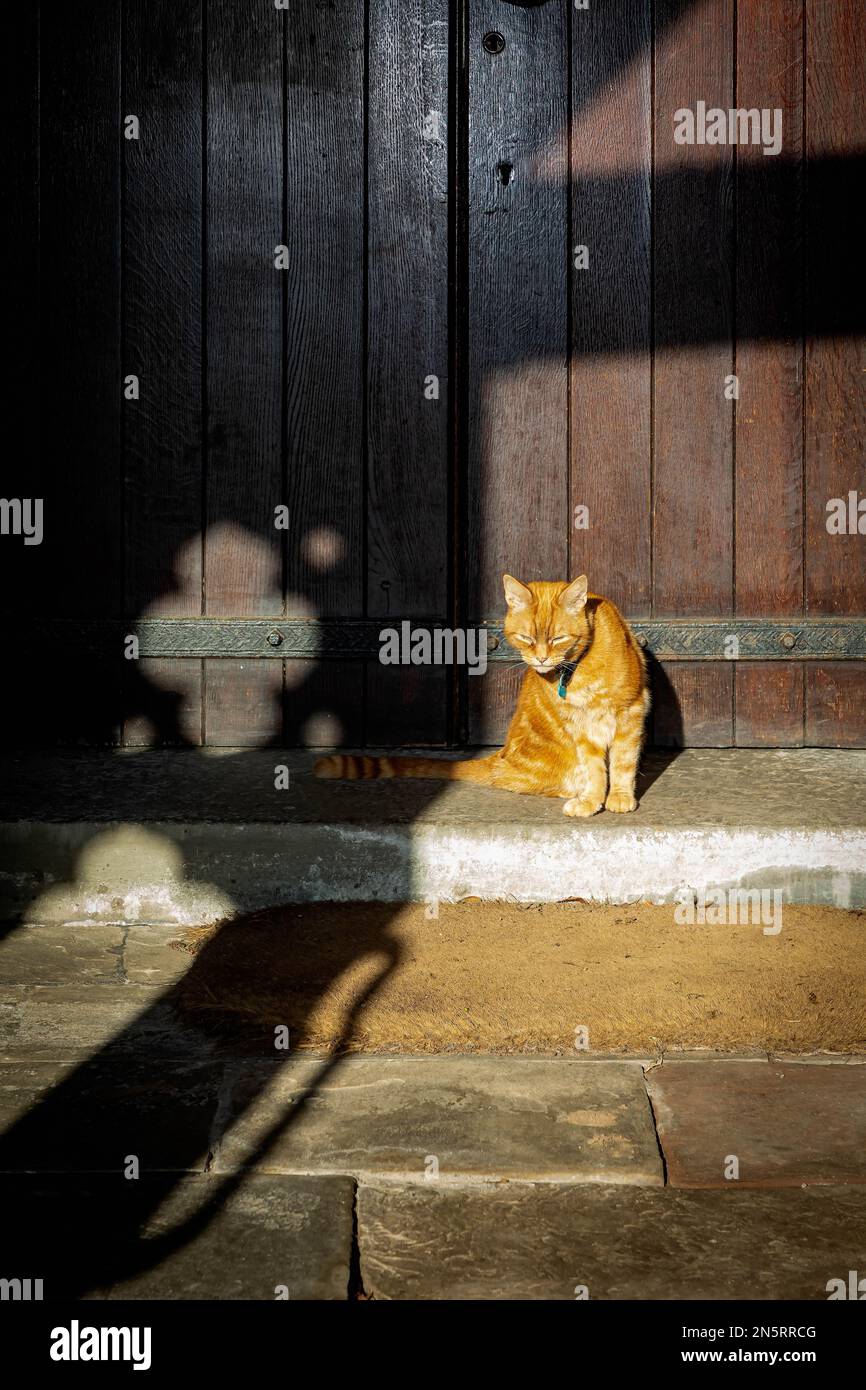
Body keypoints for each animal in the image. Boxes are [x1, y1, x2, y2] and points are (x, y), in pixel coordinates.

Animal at [315, 572, 647, 811]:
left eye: (558, 638)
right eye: (526, 638)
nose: (540, 659)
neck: (576, 668)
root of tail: (499, 760)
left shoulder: (629, 712)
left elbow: (622, 762)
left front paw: (618, 796)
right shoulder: (580, 728)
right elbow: (595, 769)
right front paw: (593, 800)